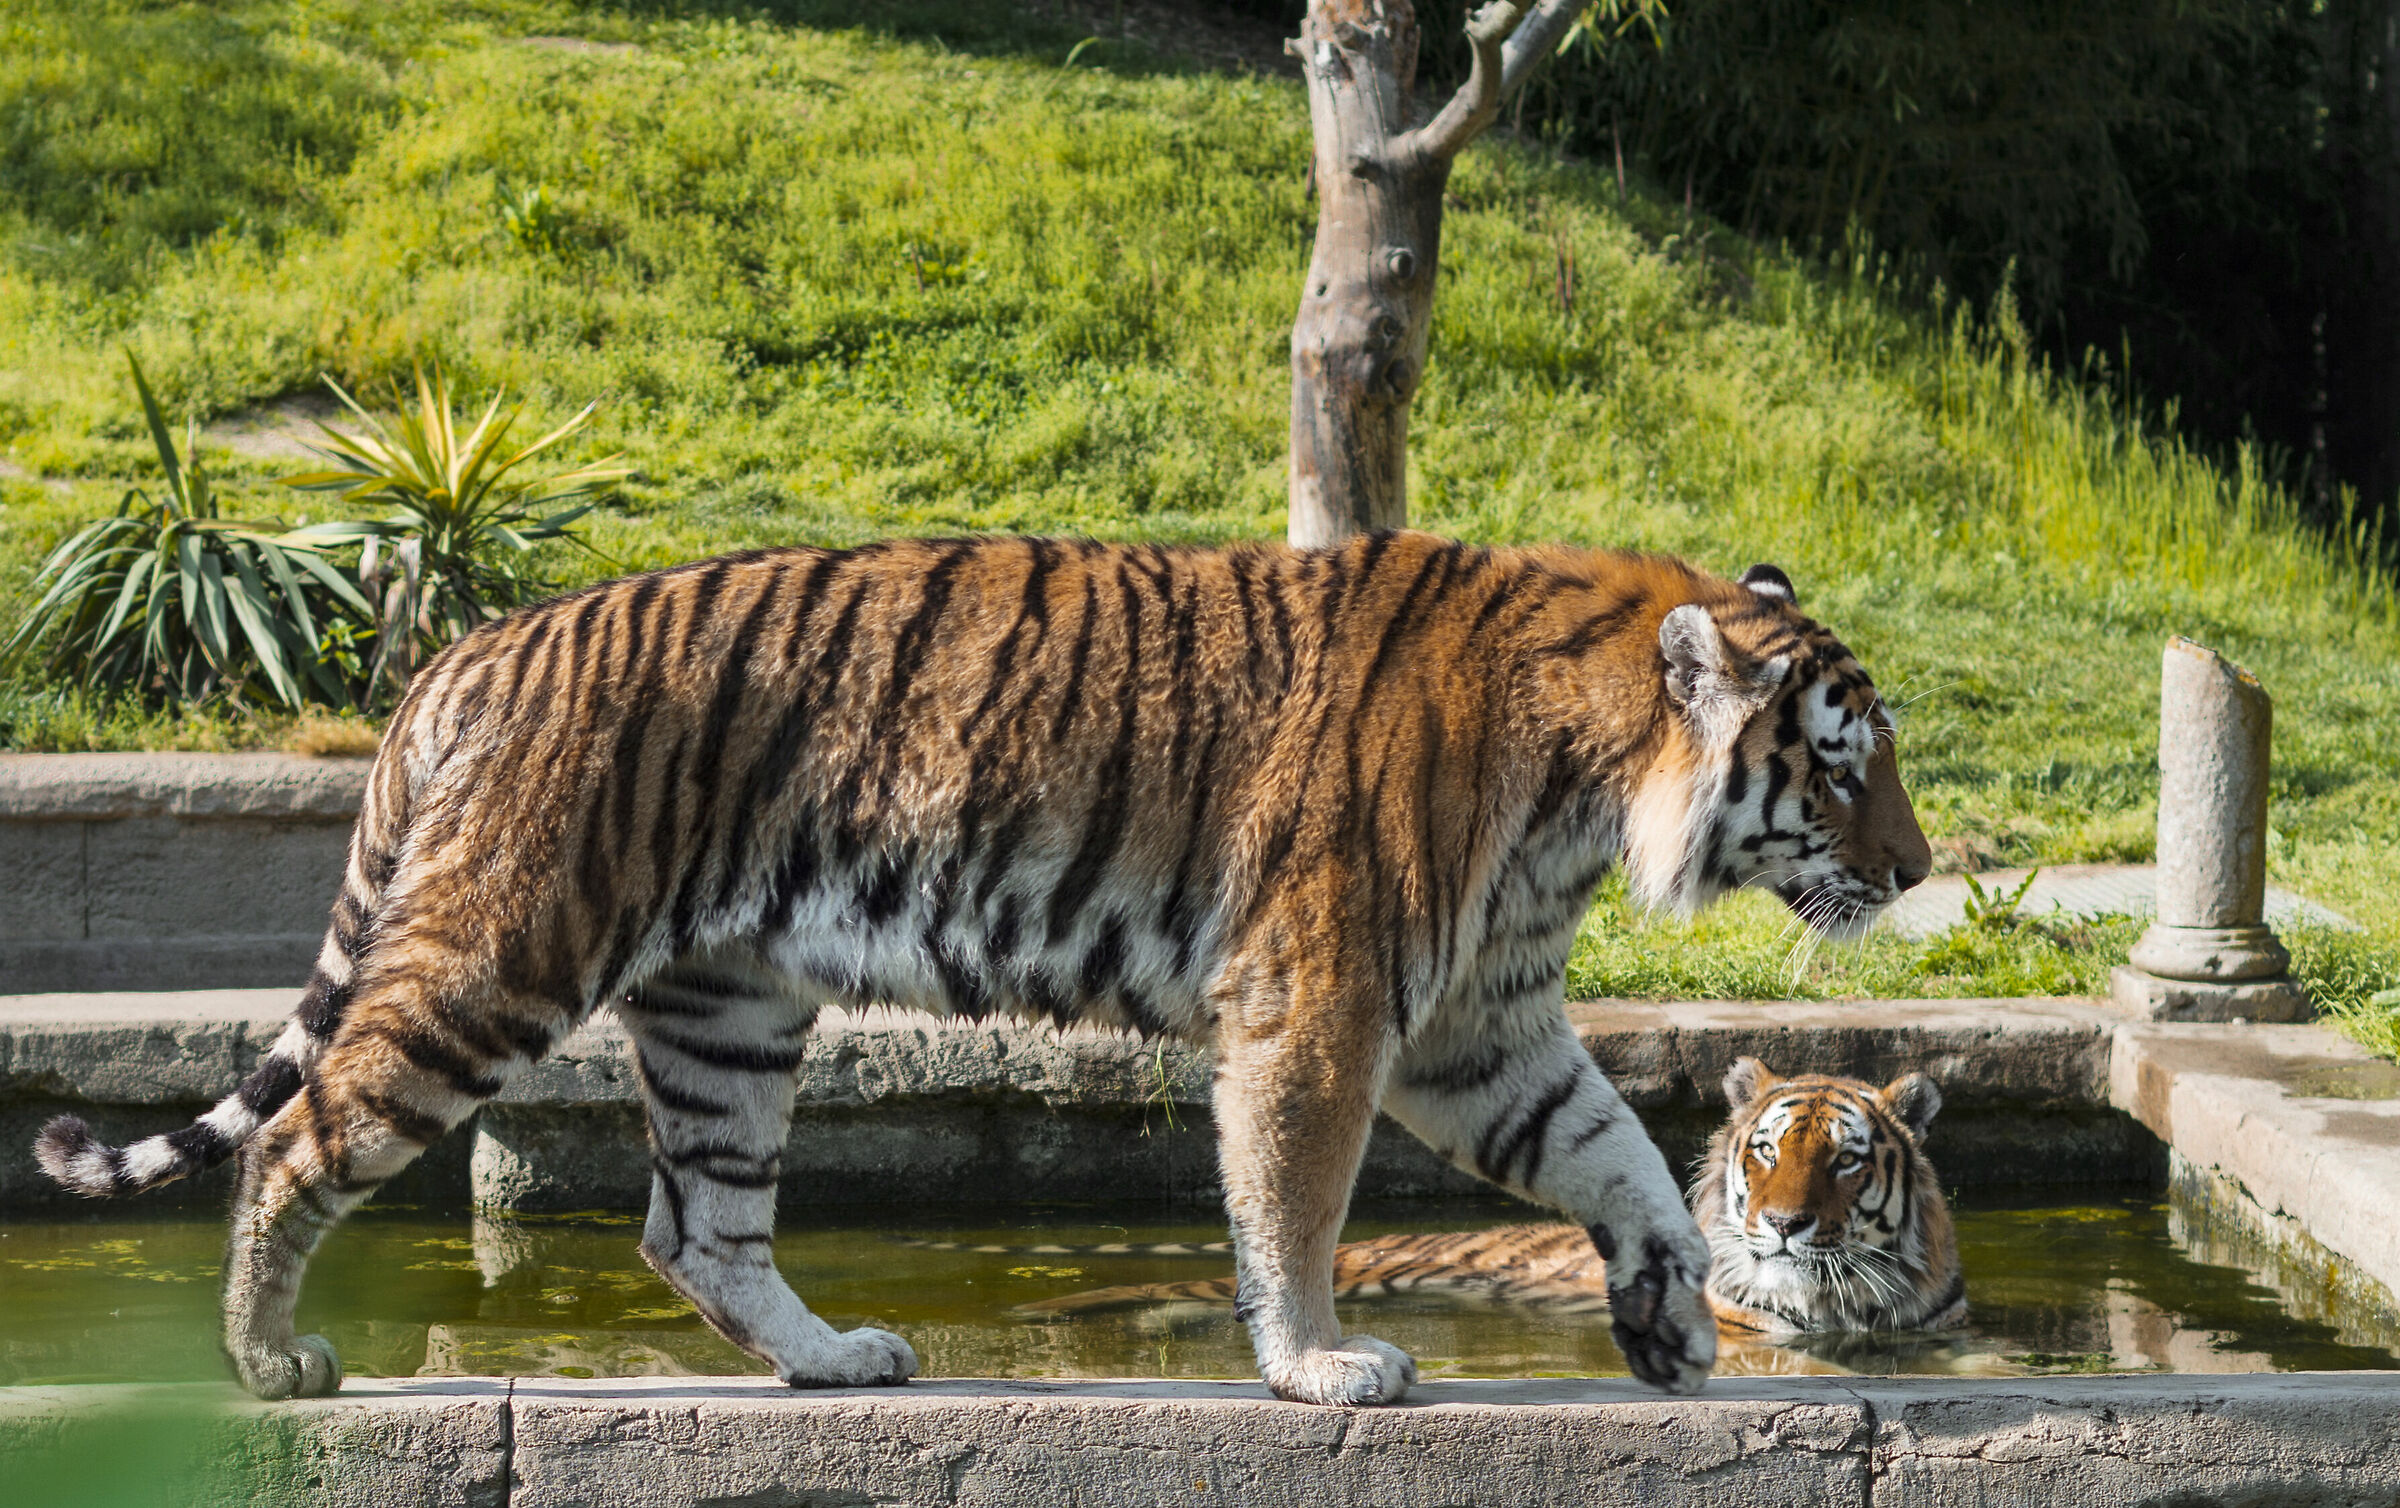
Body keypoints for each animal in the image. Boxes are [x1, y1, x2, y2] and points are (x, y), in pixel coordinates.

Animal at [34, 530, 1931, 1406]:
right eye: (1842, 765)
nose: (1921, 870)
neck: (1588, 783)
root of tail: (464, 648)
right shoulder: (1324, 1005)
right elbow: (1296, 1203)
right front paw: (1322, 1366)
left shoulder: (1480, 1026)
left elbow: (1625, 1160)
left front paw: (1672, 1317)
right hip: (501, 956)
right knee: (298, 1143)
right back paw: (269, 1362)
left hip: (732, 1008)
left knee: (697, 1226)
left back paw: (834, 1359)